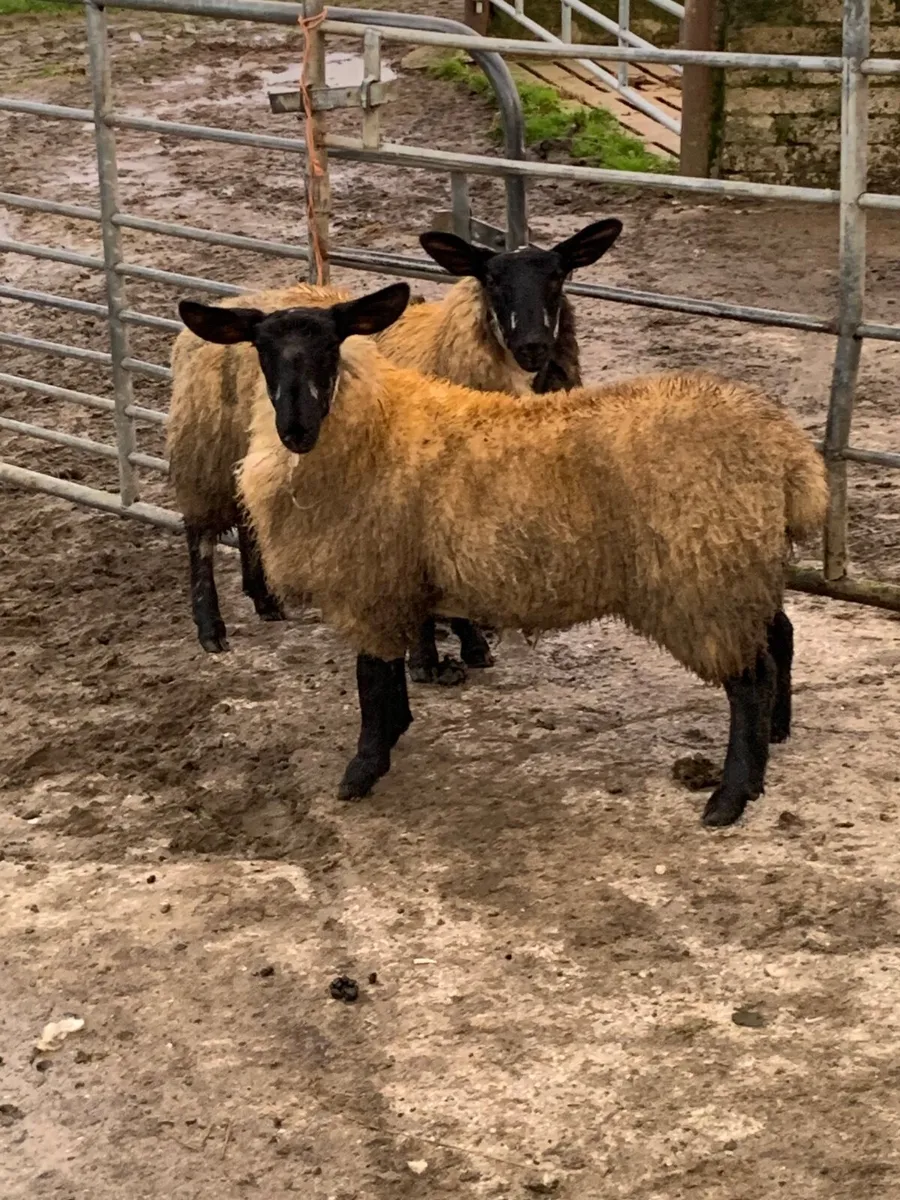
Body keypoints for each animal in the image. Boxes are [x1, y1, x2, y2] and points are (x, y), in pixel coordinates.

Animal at [167, 217, 623, 668]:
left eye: (558, 276)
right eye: (491, 279)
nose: (533, 346)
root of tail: (245, 300)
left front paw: (469, 643)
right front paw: (431, 657)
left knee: (246, 516)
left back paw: (265, 600)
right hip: (204, 451)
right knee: (200, 536)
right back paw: (211, 629)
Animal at [180, 284, 828, 829]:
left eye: (330, 347)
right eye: (263, 350)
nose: (296, 427)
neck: (376, 425)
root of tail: (788, 451)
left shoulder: (371, 581)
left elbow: (370, 680)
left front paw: (363, 769)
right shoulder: (394, 580)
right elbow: (386, 677)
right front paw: (396, 732)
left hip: (703, 578)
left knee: (750, 679)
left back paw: (731, 796)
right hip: (739, 565)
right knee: (779, 638)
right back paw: (775, 738)